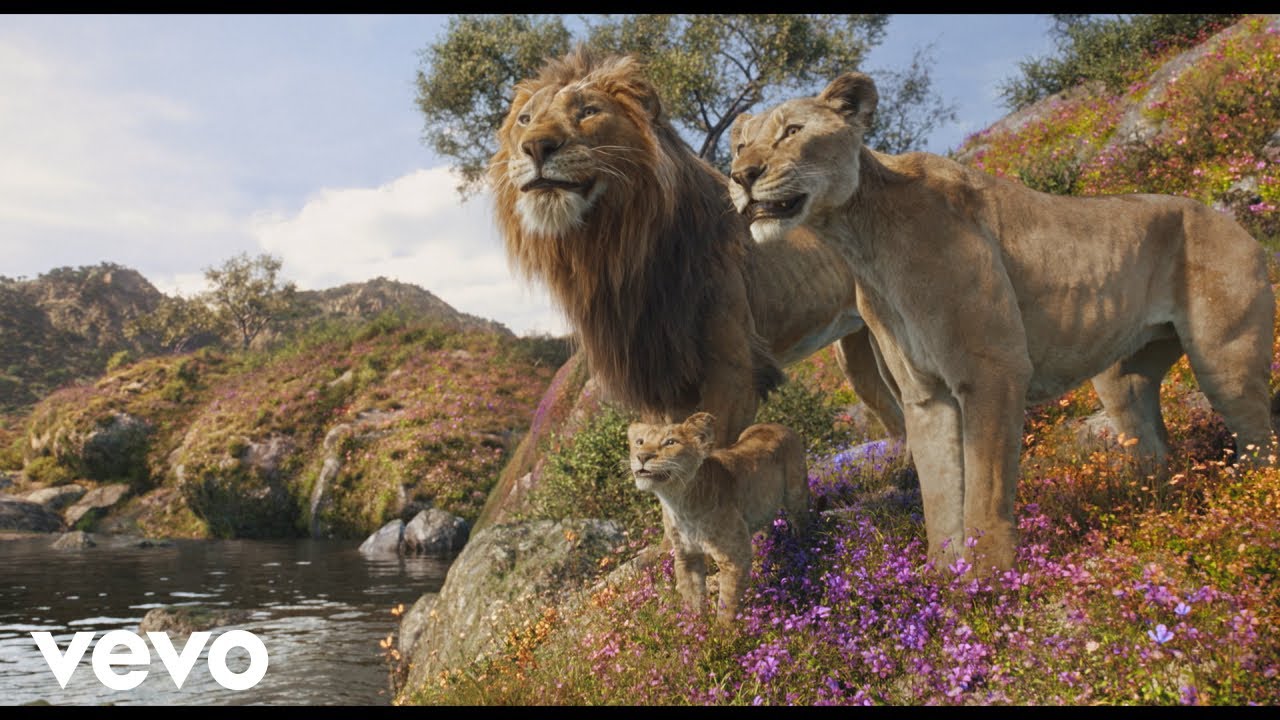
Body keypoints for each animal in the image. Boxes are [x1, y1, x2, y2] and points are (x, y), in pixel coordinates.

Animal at [489, 47, 906, 451]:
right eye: (525, 119)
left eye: (589, 111)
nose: (535, 146)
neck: (613, 249)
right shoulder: (663, 379)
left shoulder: (736, 370)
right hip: (859, 350)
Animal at [628, 412, 809, 623]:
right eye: (639, 442)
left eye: (671, 442)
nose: (642, 456)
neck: (678, 502)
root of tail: (777, 425)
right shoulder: (686, 557)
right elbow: (693, 598)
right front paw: (697, 626)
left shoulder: (733, 558)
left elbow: (727, 604)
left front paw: (724, 631)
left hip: (796, 495)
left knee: (803, 521)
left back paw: (803, 547)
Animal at [727, 71, 1278, 574]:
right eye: (740, 145)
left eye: (792, 130)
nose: (741, 175)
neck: (858, 238)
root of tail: (1234, 221)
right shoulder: (924, 394)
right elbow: (940, 495)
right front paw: (944, 584)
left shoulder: (992, 369)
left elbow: (984, 490)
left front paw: (989, 578)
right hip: (1123, 382)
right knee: (1155, 451)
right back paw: (1156, 517)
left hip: (1226, 359)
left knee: (1259, 440)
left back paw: (1249, 510)